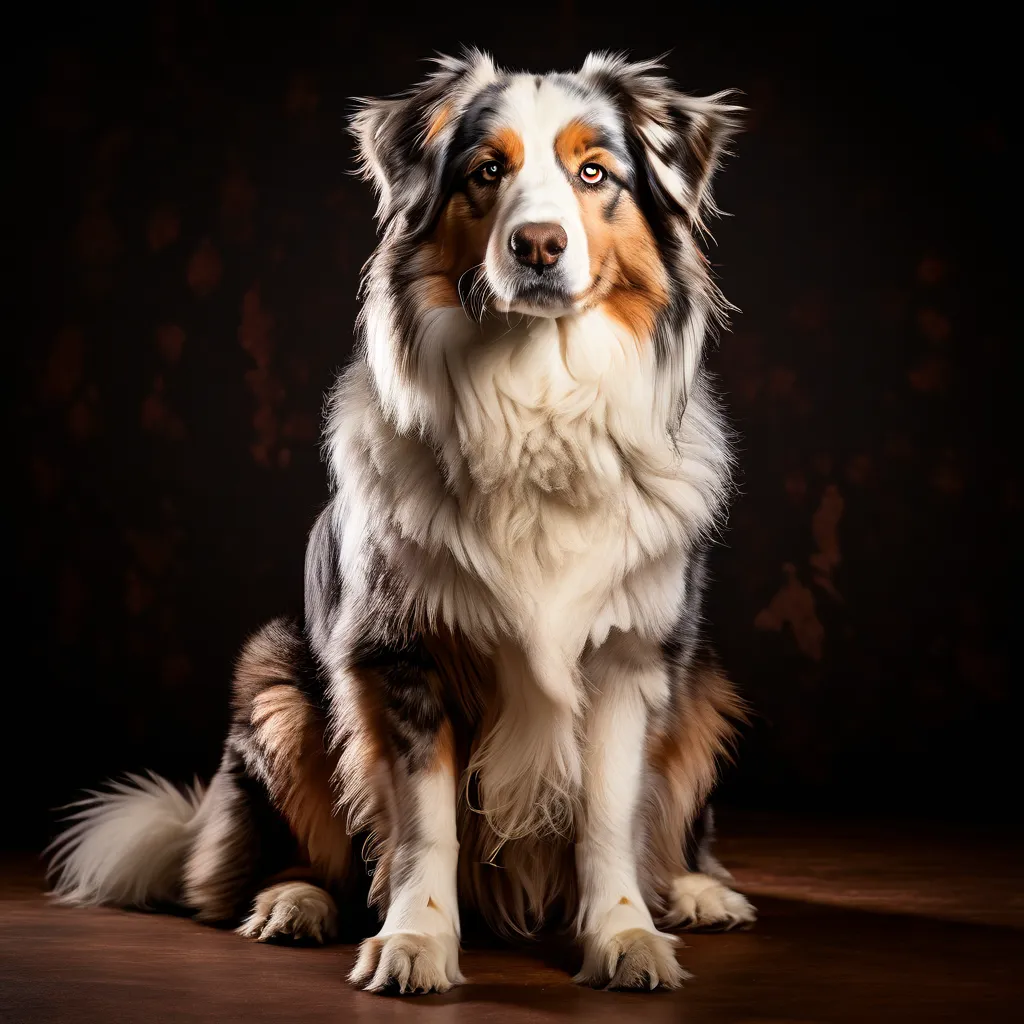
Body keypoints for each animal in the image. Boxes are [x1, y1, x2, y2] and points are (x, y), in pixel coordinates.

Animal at [46, 49, 753, 991]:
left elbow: (611, 817)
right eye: (485, 171)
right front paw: (415, 941)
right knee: (272, 860)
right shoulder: (400, 657)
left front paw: (625, 935)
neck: (538, 400)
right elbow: (424, 827)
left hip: (703, 683)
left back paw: (696, 892)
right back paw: (292, 903)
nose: (538, 245)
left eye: (594, 173)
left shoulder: (632, 656)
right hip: (276, 685)